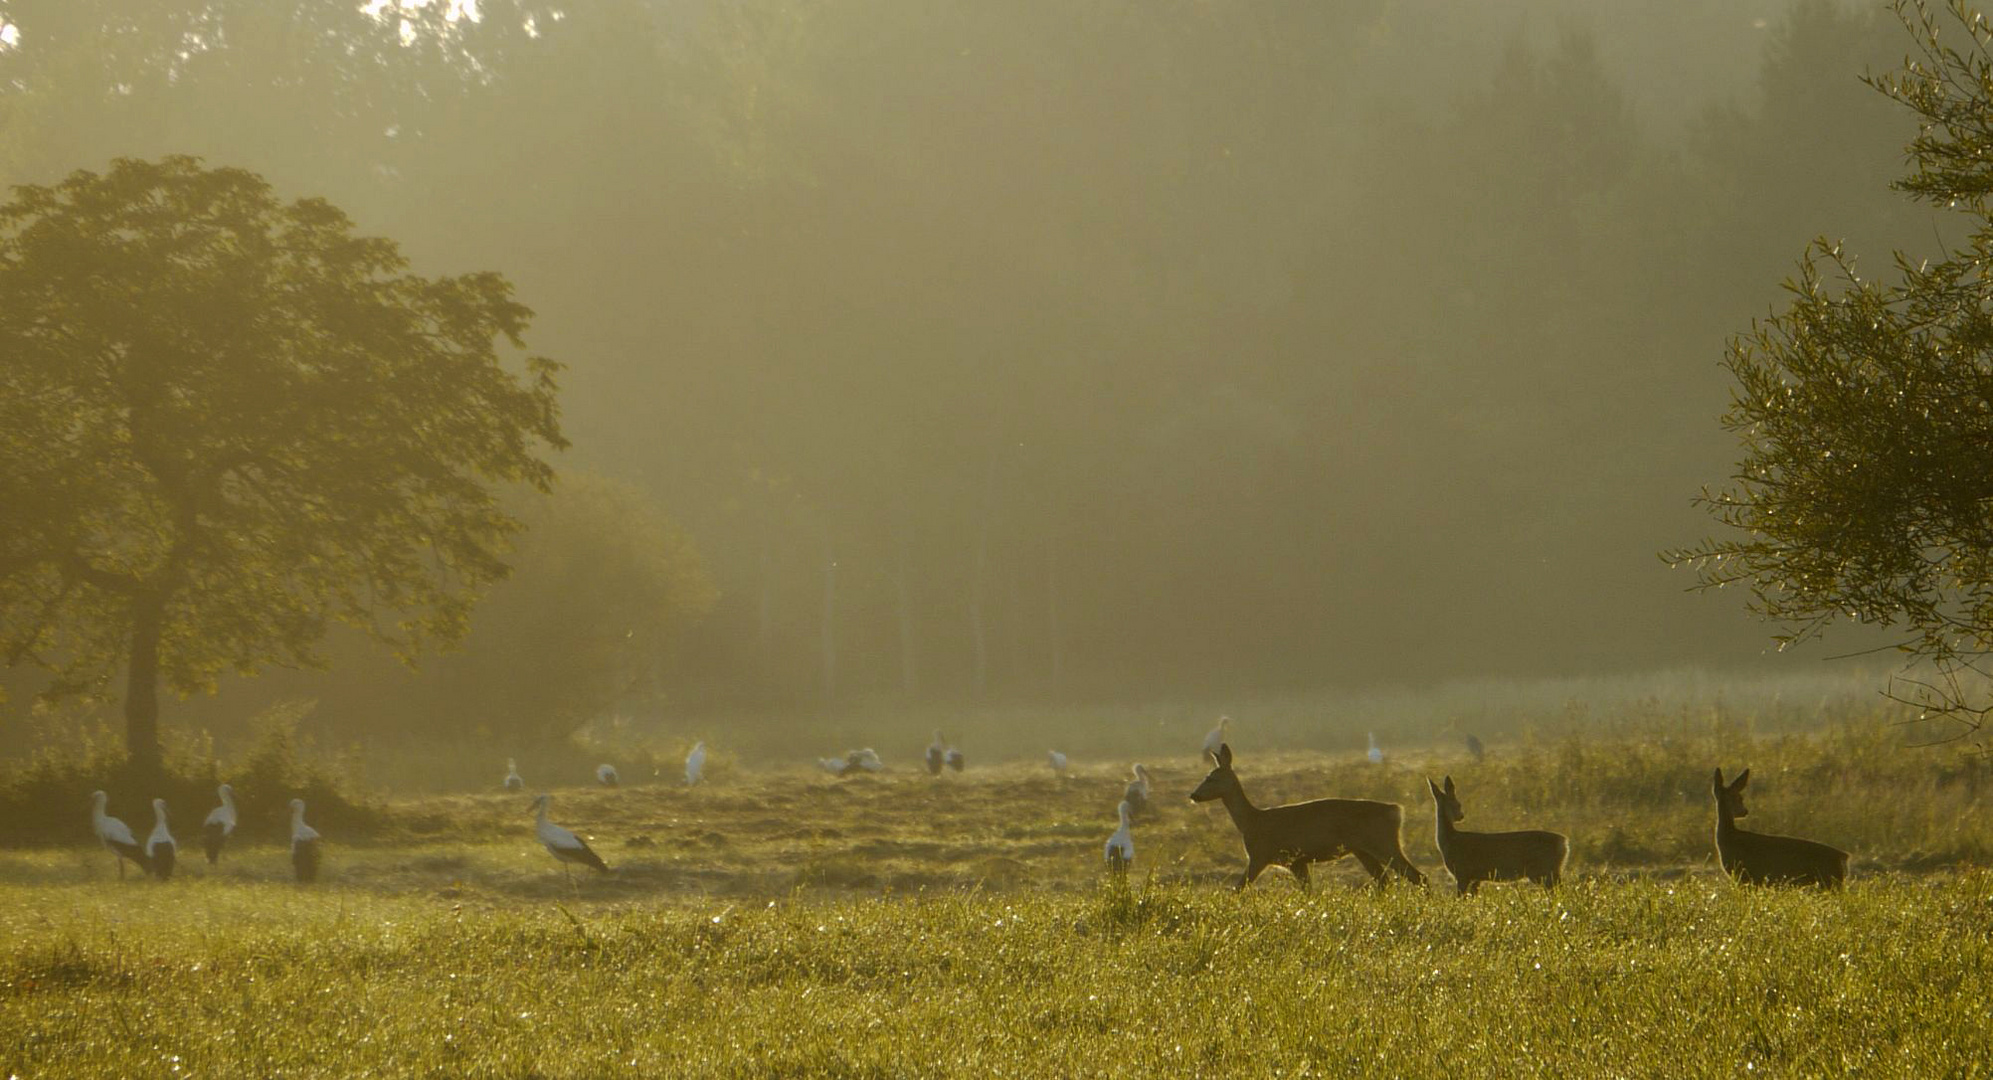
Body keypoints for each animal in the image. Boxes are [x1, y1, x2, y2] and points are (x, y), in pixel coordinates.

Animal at [1187, 745, 1426, 888]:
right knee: (1385, 882)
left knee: (1418, 876)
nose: (1193, 795)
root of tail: (1396, 810)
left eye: (1210, 778)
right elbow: (1309, 891)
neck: (1251, 821)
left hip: (1383, 842)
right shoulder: (1297, 862)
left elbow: (1238, 888)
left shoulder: (1260, 855)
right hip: (1363, 850)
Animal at [1426, 781, 1562, 896]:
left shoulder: (1462, 872)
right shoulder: (1476, 877)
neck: (1448, 841)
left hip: (1542, 871)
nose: (1461, 816)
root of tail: (1564, 842)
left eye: (1459, 804)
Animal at [1713, 769, 1849, 888]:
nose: (1745, 811)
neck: (1730, 837)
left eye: (1740, 798)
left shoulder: (1745, 875)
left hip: (1829, 880)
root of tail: (1844, 856)